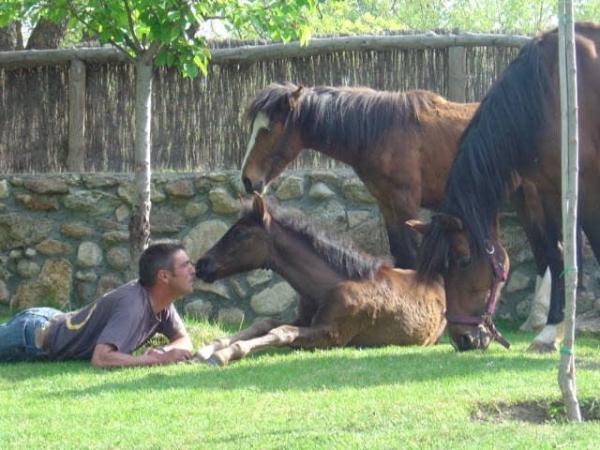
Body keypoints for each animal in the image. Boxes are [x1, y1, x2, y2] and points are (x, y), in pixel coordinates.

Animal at [192, 193, 446, 366]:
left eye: (239, 233)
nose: (201, 265)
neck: (325, 287)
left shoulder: (331, 335)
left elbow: (281, 333)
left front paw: (222, 354)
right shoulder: (303, 319)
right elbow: (263, 324)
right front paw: (206, 350)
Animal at [410, 22, 600, 352]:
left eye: (463, 260)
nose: (463, 339)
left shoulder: (587, 186)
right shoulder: (550, 189)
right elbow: (557, 254)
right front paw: (551, 331)